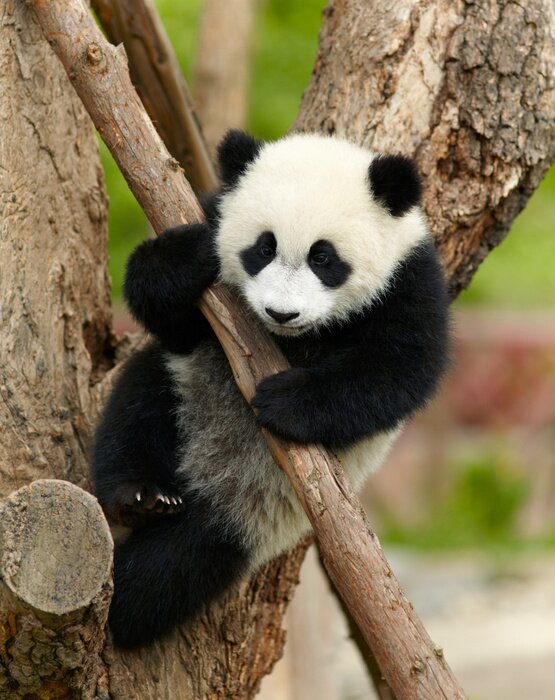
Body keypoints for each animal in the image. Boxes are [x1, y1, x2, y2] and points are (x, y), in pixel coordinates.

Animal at [92, 130, 450, 648]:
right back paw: (139, 496)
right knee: (135, 410)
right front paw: (181, 259)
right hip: (182, 386)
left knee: (187, 560)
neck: (294, 340)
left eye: (324, 257)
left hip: (259, 515)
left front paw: (285, 401)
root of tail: (205, 479)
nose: (282, 313)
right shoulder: (209, 241)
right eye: (263, 248)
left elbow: (400, 369)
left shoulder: (408, 279)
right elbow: (170, 316)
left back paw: (127, 606)